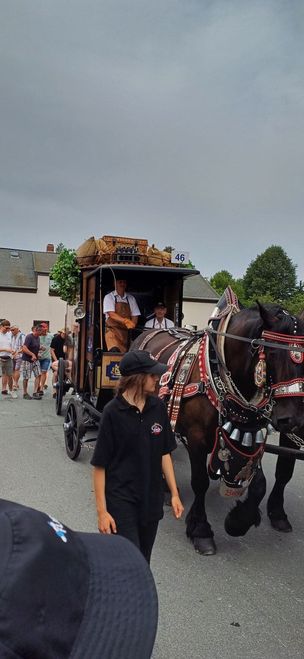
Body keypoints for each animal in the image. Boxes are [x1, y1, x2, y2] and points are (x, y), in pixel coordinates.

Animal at [132, 302, 304, 556]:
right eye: (272, 354)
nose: (292, 420)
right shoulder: (196, 438)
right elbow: (200, 482)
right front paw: (200, 529)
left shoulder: (249, 435)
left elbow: (259, 485)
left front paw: (238, 522)